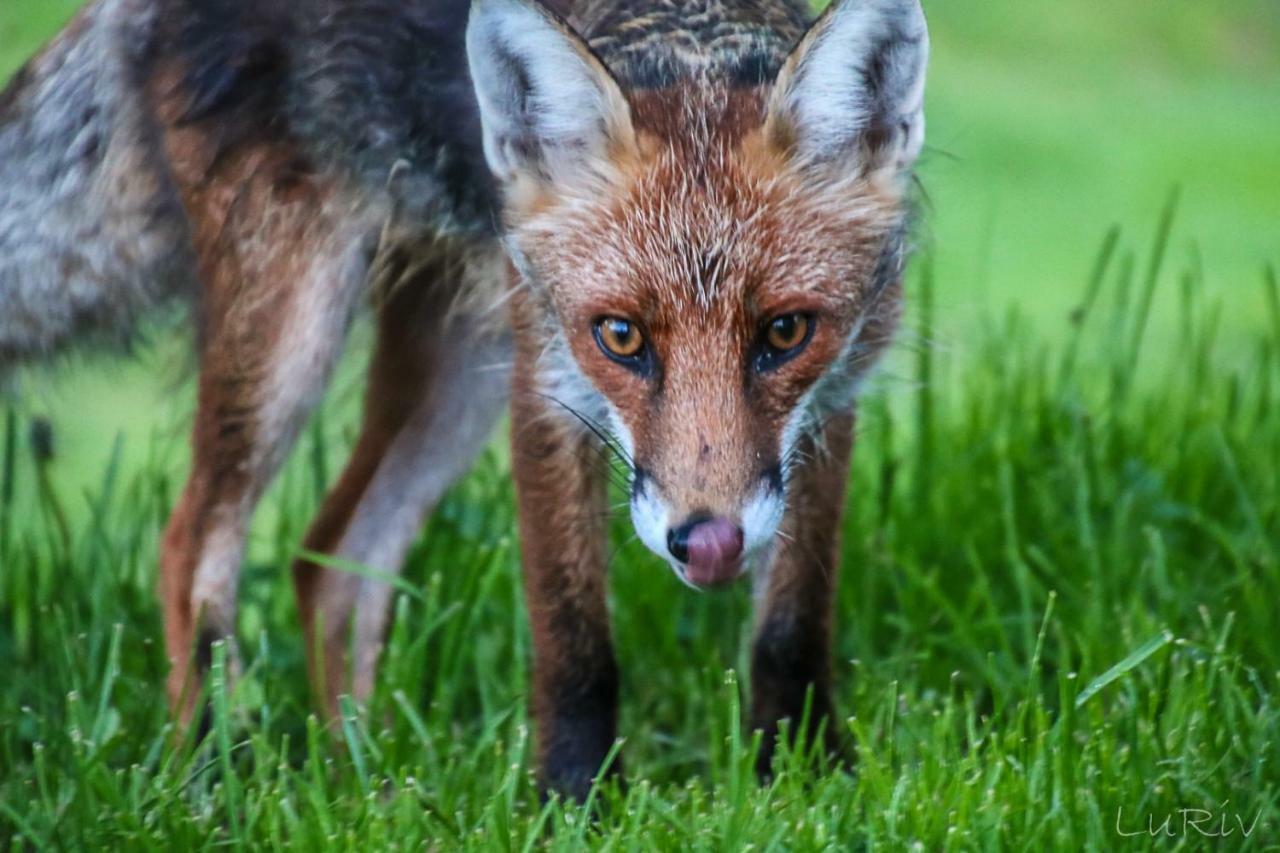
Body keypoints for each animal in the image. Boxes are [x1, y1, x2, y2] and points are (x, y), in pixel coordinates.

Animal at [0, 0, 926, 794]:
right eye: (620, 336)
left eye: (786, 332)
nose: (706, 545)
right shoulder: (546, 384)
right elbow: (573, 635)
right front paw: (575, 802)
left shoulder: (834, 396)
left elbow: (791, 626)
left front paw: (802, 774)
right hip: (296, 320)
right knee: (194, 544)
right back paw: (217, 776)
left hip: (453, 361)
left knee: (329, 558)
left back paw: (362, 780)